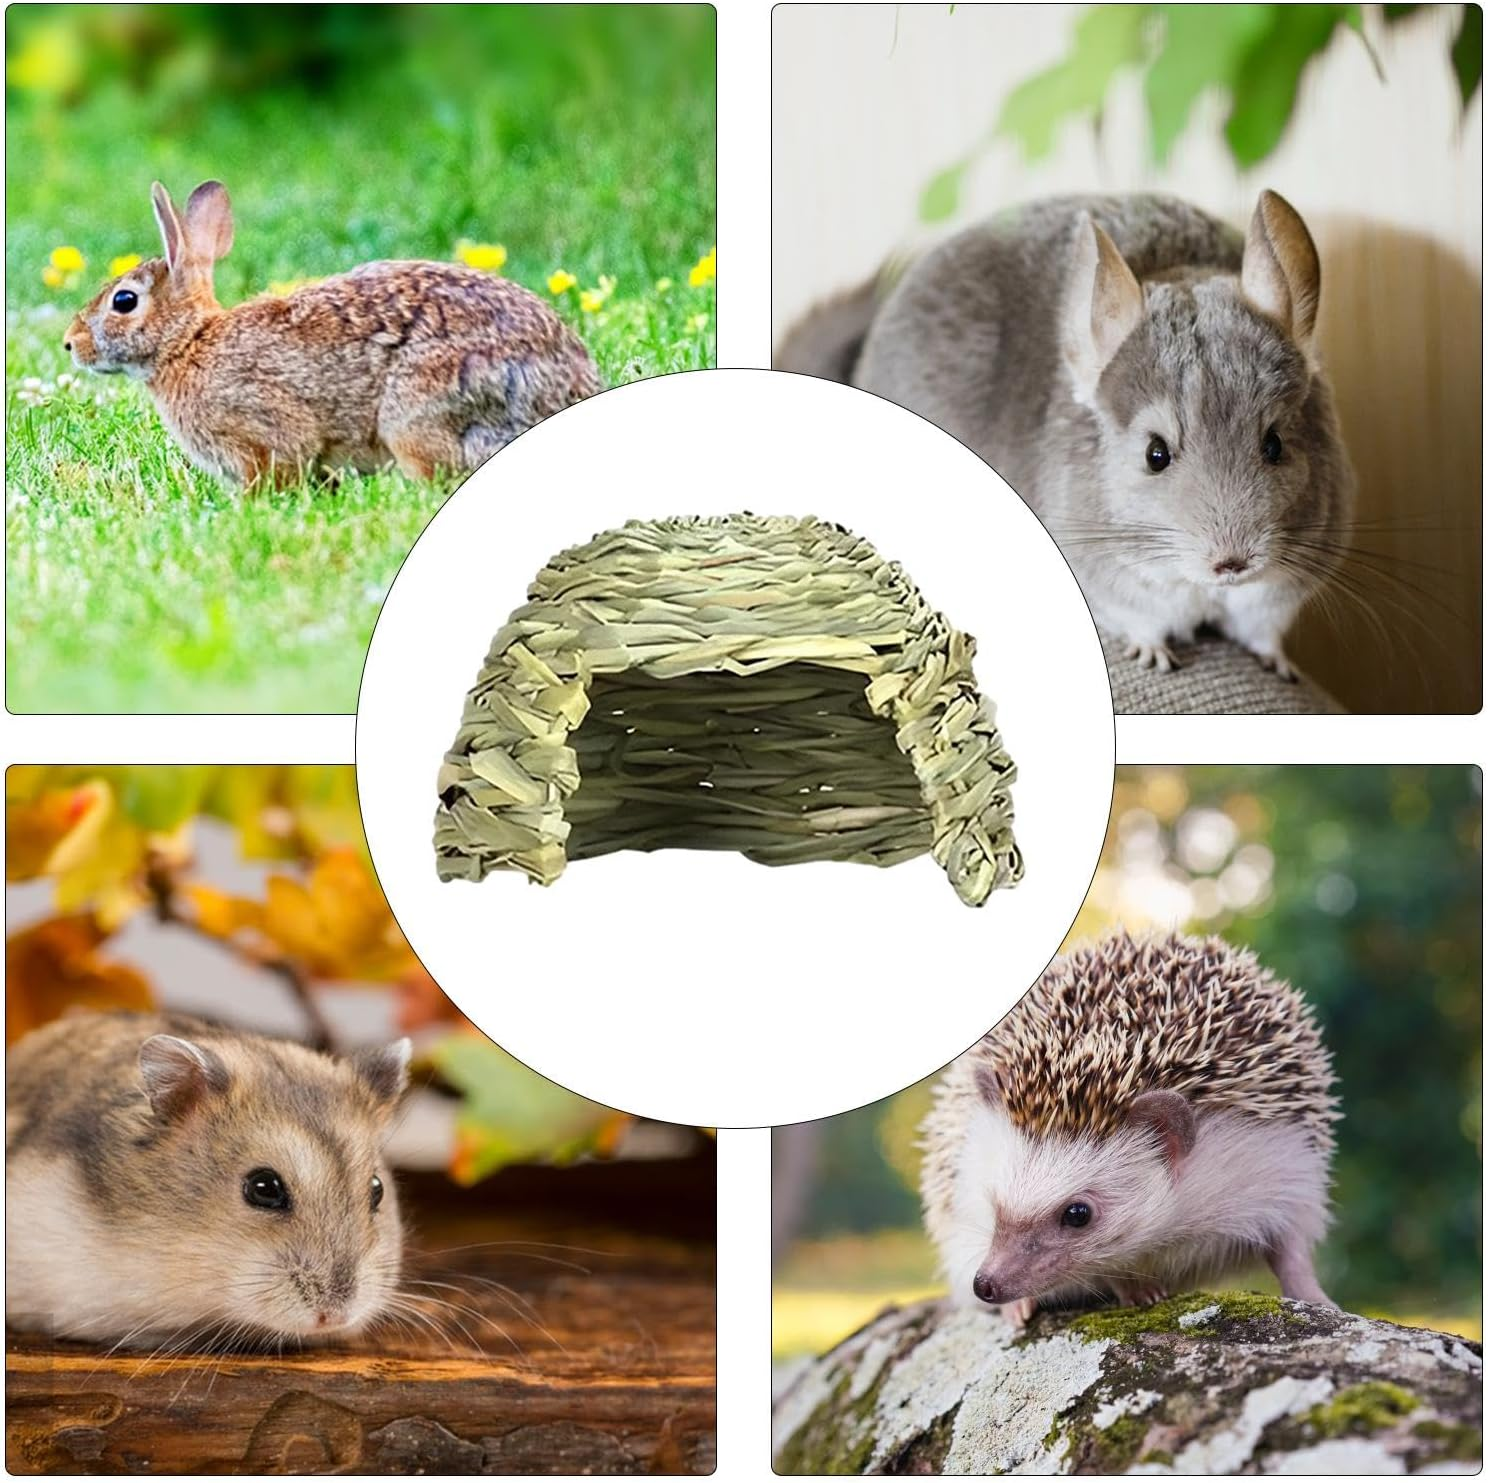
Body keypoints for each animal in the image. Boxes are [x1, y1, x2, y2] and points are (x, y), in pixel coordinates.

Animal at [65, 180, 601, 485]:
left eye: (124, 301)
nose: (70, 344)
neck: (187, 344)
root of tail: (566, 391)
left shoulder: (264, 428)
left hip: (417, 414)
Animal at [778, 192, 1356, 678]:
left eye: (1275, 444)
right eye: (1156, 454)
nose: (1232, 563)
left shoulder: (1278, 596)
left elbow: (1263, 635)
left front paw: (1280, 666)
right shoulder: (1115, 588)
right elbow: (1141, 623)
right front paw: (1154, 655)